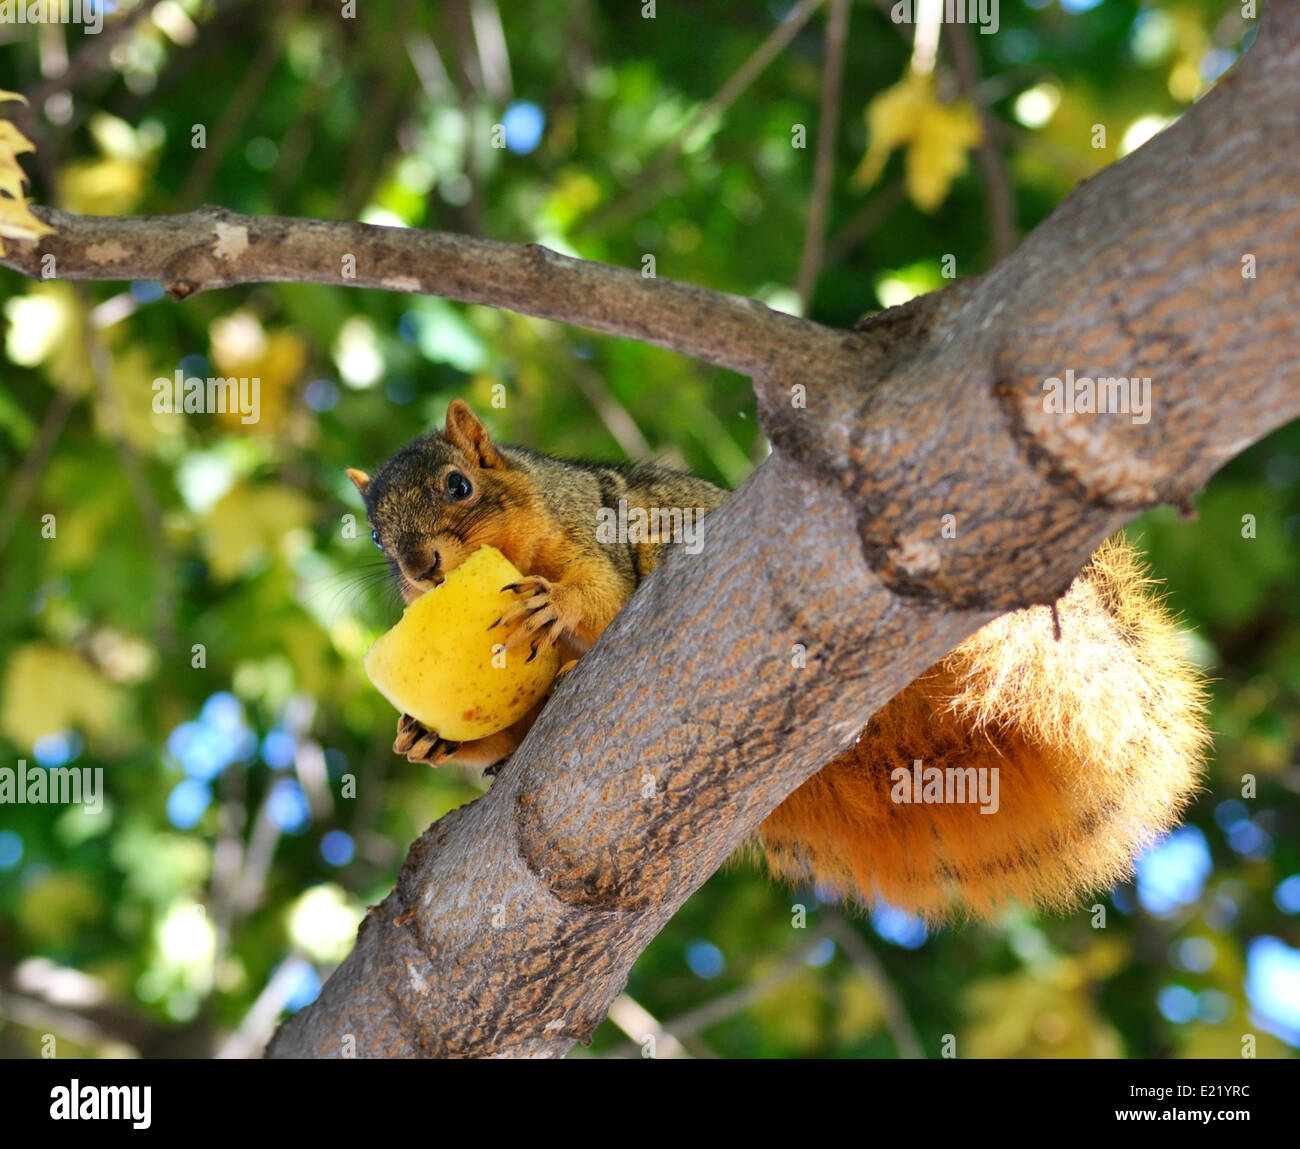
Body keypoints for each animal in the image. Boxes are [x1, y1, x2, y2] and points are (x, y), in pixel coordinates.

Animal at [348, 400, 1208, 922]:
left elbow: (600, 591)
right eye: (376, 537)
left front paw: (553, 606)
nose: (418, 567)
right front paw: (431, 736)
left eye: (458, 484)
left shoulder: (592, 531)